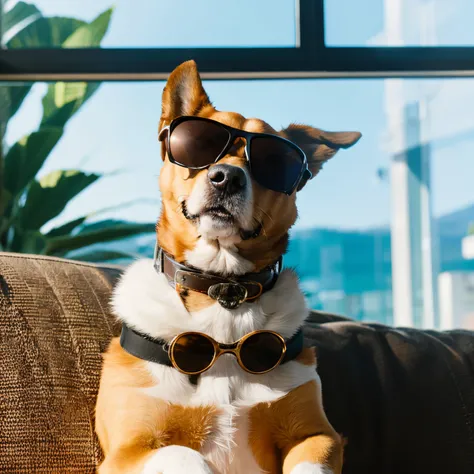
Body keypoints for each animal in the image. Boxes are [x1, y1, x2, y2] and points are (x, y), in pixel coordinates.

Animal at [96, 60, 362, 474]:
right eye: (198, 143)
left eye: (275, 161)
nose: (227, 177)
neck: (222, 289)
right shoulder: (128, 452)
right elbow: (185, 454)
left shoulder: (317, 436)